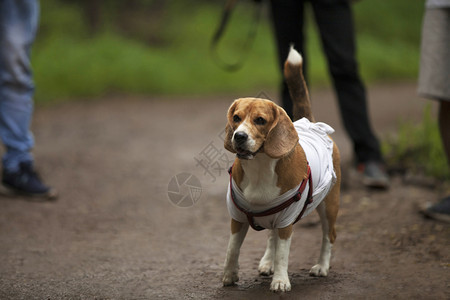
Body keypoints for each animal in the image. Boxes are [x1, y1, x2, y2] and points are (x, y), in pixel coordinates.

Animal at [221, 47, 342, 292]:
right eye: (236, 118)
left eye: (260, 120)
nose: (239, 136)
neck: (259, 166)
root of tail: (311, 124)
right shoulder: (237, 217)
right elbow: (232, 248)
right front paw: (229, 275)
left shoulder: (287, 222)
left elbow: (283, 254)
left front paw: (280, 280)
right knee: (271, 237)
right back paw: (267, 262)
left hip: (329, 206)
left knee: (329, 236)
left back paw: (322, 266)